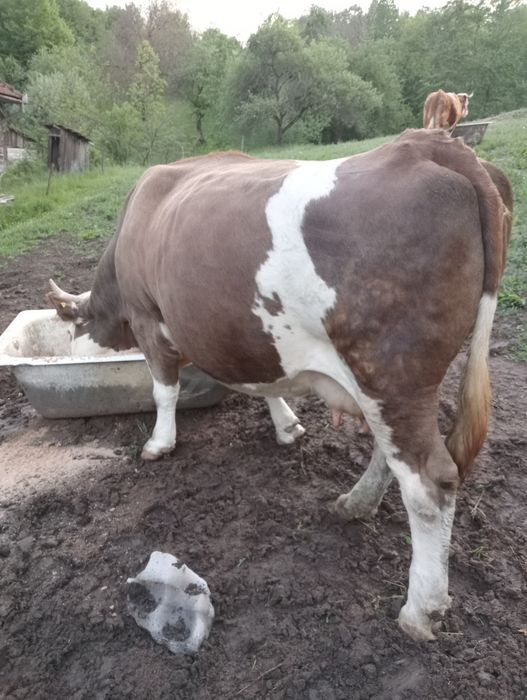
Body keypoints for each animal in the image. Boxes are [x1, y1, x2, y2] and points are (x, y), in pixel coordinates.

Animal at [47, 129, 512, 642]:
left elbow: (163, 389)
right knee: (392, 454)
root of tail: (427, 144)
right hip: (393, 385)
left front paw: (159, 443)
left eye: (71, 329)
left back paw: (420, 608)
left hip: (391, 369)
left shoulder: (149, 316)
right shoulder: (250, 339)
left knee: (429, 484)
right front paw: (287, 425)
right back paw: (355, 503)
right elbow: (269, 384)